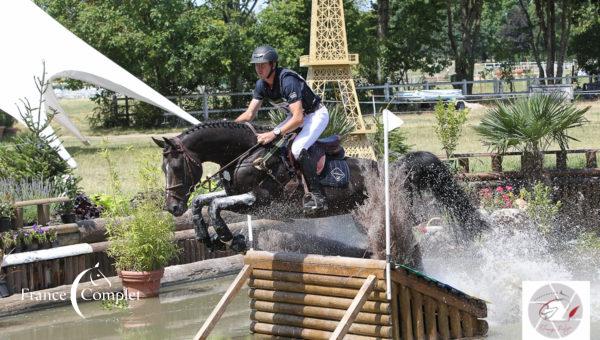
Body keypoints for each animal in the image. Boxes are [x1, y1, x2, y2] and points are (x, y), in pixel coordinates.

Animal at [154, 121, 488, 252]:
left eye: (176, 167)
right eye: (162, 168)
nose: (172, 207)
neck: (247, 154)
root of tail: (396, 168)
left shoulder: (259, 200)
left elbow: (214, 206)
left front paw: (229, 237)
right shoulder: (234, 194)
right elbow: (202, 202)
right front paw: (207, 237)